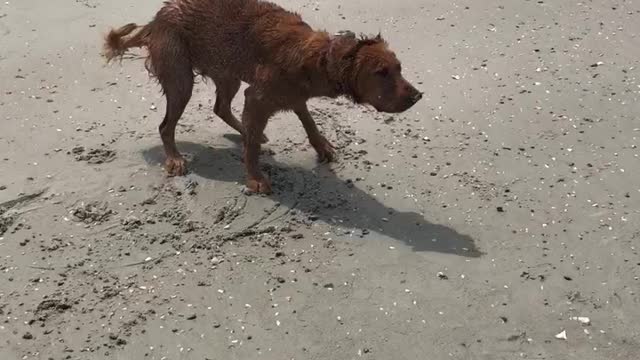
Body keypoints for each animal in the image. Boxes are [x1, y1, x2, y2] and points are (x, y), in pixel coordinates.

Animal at [104, 0, 424, 194]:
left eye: (399, 68)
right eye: (381, 72)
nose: (418, 96)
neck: (318, 59)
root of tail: (156, 19)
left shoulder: (291, 95)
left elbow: (309, 122)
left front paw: (322, 146)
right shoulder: (258, 97)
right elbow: (254, 149)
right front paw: (255, 177)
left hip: (228, 72)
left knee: (221, 107)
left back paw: (244, 132)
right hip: (181, 79)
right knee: (166, 126)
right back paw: (175, 159)